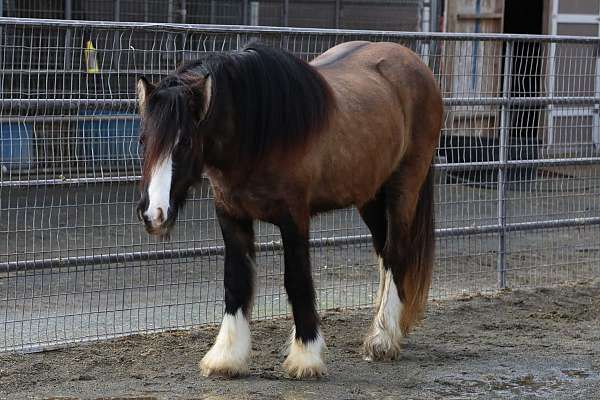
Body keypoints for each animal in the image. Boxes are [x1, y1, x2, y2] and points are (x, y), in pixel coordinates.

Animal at [136, 39, 442, 378]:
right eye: (143, 139)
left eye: (186, 142)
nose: (153, 214)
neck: (259, 130)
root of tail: (415, 64)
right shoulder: (230, 215)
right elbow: (236, 281)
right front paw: (227, 357)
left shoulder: (294, 217)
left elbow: (297, 280)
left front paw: (306, 356)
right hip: (371, 196)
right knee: (384, 255)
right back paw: (387, 329)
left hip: (404, 186)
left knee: (396, 252)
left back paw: (383, 339)